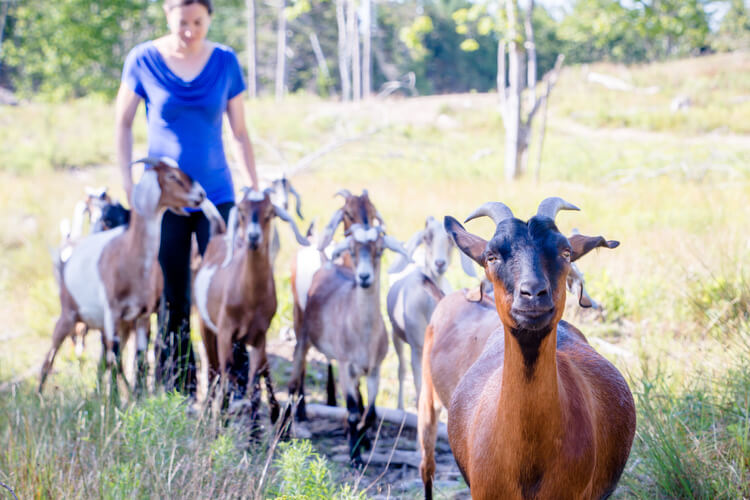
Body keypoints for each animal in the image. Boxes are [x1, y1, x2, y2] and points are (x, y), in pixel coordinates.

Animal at [39, 158, 222, 394]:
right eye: (171, 176)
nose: (201, 194)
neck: (130, 258)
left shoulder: (141, 316)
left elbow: (139, 359)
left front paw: (138, 395)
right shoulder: (113, 314)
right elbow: (115, 359)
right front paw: (116, 398)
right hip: (69, 315)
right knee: (51, 358)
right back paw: (42, 395)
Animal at [194, 187, 308, 421]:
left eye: (269, 213)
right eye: (243, 213)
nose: (253, 237)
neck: (250, 297)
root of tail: (219, 234)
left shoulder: (258, 335)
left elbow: (256, 376)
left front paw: (260, 422)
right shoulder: (225, 331)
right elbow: (228, 372)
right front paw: (224, 418)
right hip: (206, 326)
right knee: (214, 371)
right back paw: (210, 413)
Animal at [287, 223, 409, 462]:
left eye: (379, 251)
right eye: (352, 251)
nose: (364, 277)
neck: (363, 333)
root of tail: (325, 264)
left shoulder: (375, 368)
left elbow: (370, 413)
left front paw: (362, 441)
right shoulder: (344, 365)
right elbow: (353, 412)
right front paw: (355, 455)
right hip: (301, 332)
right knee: (295, 376)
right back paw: (288, 425)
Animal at [385, 216, 477, 409]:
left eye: (450, 240)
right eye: (427, 238)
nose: (439, 264)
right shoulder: (417, 348)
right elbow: (419, 384)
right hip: (396, 335)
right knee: (401, 369)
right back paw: (400, 407)